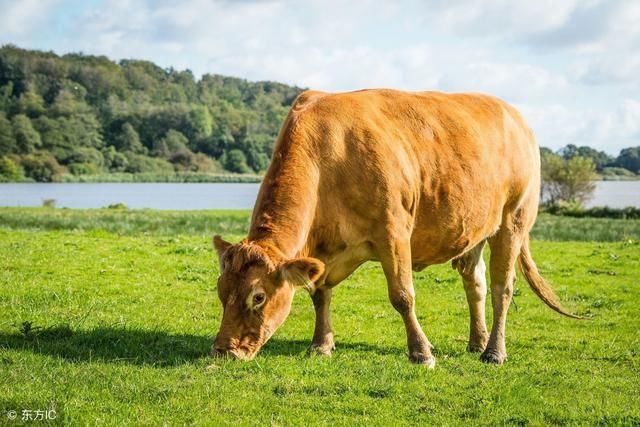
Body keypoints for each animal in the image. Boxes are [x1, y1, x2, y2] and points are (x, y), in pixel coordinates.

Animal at [210, 88, 576, 368]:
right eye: (221, 291)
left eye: (258, 297)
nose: (224, 351)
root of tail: (513, 114)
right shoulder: (323, 251)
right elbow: (319, 293)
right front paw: (321, 345)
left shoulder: (394, 232)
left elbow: (402, 296)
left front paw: (422, 353)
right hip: (474, 230)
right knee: (476, 284)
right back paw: (477, 341)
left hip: (514, 219)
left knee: (503, 288)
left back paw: (494, 352)